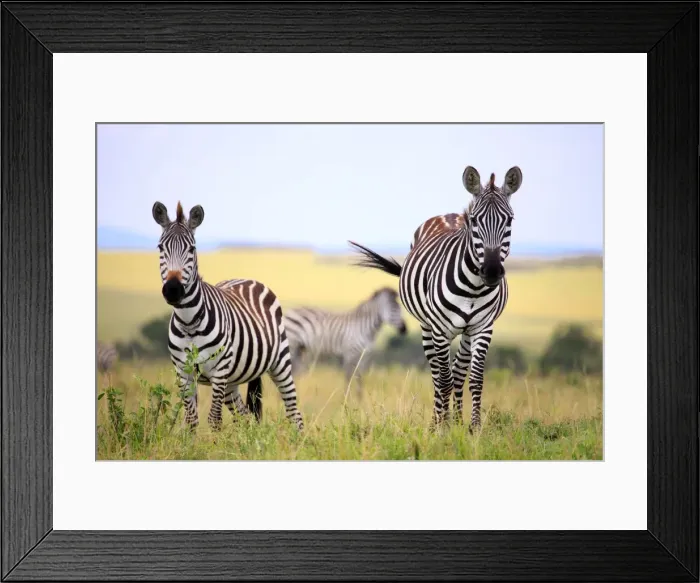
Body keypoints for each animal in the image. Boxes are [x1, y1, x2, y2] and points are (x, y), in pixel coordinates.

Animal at [152, 201, 304, 432]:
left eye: (192, 249)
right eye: (161, 248)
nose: (173, 290)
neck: (189, 322)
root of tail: (248, 279)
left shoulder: (219, 369)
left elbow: (214, 420)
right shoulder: (183, 372)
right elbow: (191, 420)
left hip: (280, 362)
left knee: (294, 412)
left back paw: (299, 438)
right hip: (232, 382)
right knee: (246, 418)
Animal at [349, 165, 523, 430]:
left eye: (509, 220)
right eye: (474, 220)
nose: (492, 271)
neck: (473, 288)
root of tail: (448, 215)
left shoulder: (483, 328)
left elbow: (474, 379)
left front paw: (473, 428)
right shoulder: (440, 329)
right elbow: (443, 380)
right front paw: (443, 427)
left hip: (466, 332)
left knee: (459, 372)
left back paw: (458, 420)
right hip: (426, 326)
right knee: (437, 374)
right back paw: (437, 422)